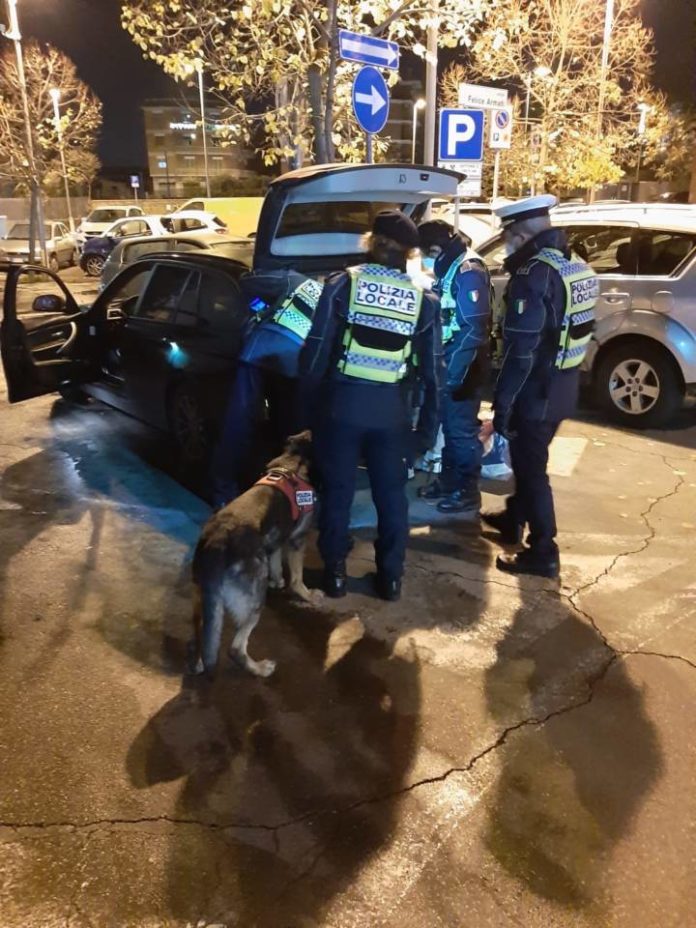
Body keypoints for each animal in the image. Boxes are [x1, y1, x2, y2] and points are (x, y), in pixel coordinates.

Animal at [189, 430, 321, 679]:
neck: (290, 462)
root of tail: (216, 544)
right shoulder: (297, 540)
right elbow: (297, 579)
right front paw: (307, 595)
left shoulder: (277, 539)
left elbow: (277, 563)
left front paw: (278, 581)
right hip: (255, 599)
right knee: (235, 648)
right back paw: (259, 669)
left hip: (208, 601)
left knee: (202, 632)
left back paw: (199, 661)